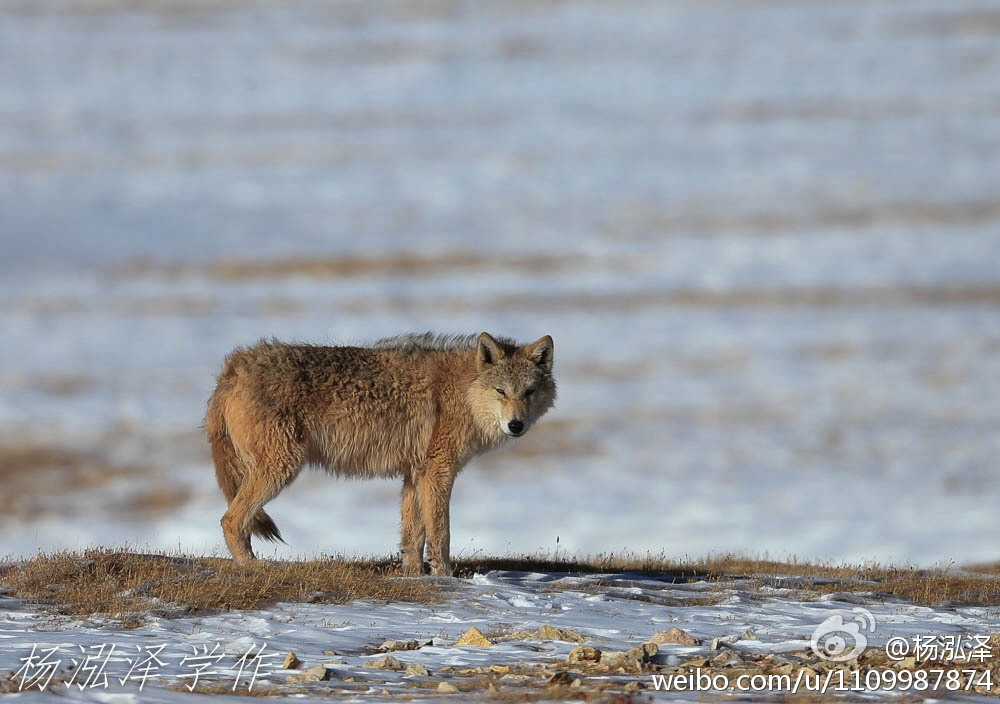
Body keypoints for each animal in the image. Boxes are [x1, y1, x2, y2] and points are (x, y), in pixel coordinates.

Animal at [204, 332, 560, 576]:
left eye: (529, 392)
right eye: (501, 391)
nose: (516, 425)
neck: (463, 392)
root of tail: (233, 367)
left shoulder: (415, 474)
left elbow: (413, 536)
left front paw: (414, 576)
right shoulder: (438, 472)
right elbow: (440, 534)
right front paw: (446, 577)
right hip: (280, 469)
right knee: (230, 520)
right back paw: (252, 567)